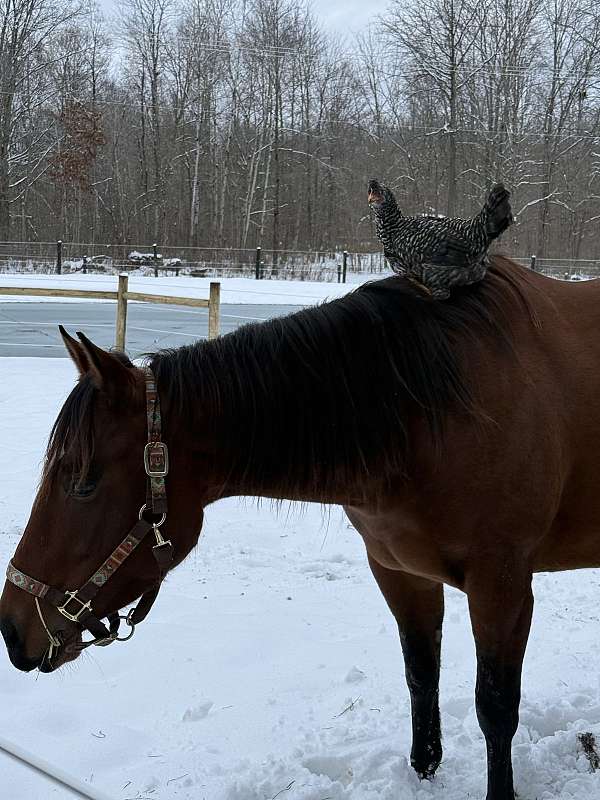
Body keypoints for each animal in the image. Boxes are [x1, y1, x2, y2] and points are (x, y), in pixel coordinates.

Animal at [0, 255, 598, 800]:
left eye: (83, 483)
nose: (11, 627)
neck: (434, 412)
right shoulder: (401, 573)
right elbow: (421, 676)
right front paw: (424, 771)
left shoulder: (503, 587)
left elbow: (496, 710)